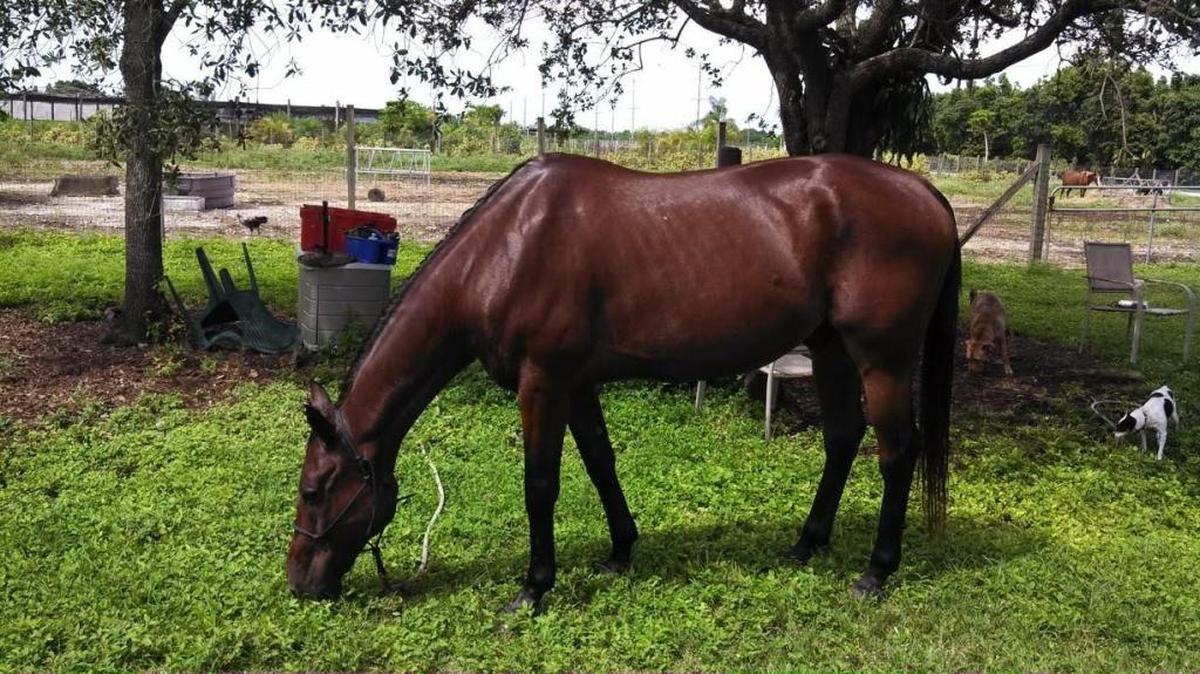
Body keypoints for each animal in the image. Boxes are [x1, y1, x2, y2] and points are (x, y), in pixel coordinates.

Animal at [286, 153, 961, 610]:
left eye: (315, 490)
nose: (300, 584)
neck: (506, 249)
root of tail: (924, 190)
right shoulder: (576, 385)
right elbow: (600, 463)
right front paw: (619, 551)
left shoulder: (543, 383)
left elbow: (541, 484)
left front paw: (534, 588)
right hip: (830, 348)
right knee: (843, 437)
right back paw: (807, 543)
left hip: (883, 358)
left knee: (897, 452)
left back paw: (877, 571)